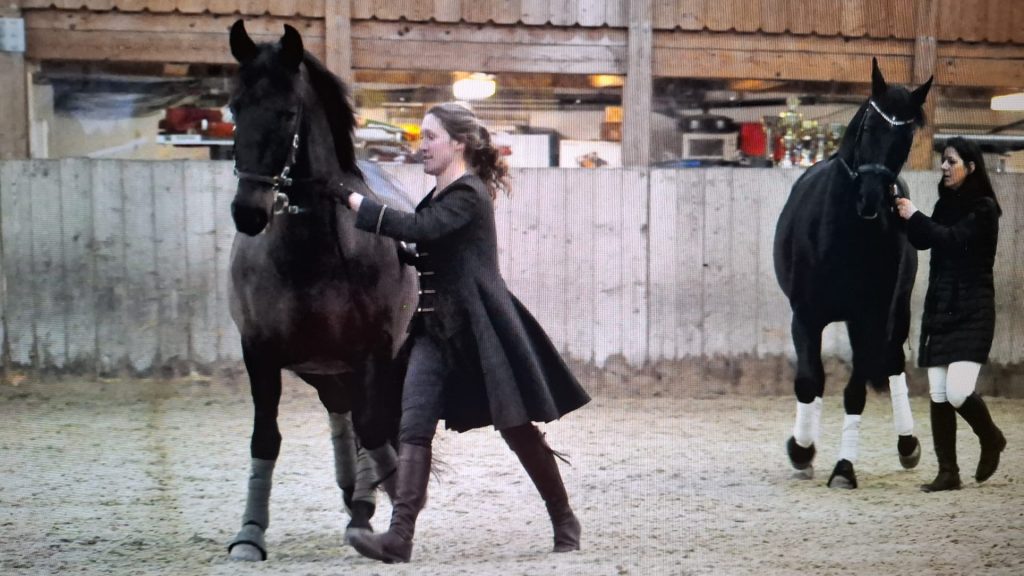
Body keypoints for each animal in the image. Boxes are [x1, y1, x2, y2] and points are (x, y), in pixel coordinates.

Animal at [224, 21, 418, 560]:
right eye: (234, 107)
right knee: (341, 417)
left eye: (288, 112)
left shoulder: (374, 353)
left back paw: (364, 502)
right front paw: (249, 534)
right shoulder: (259, 354)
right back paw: (354, 495)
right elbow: (264, 439)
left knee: (368, 425)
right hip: (324, 371)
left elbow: (376, 430)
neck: (310, 258)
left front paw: (387, 514)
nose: (248, 212)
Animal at [773, 58, 932, 489]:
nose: (871, 200)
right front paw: (801, 451)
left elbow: (855, 392)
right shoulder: (805, 316)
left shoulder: (870, 317)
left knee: (893, 363)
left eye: (906, 137)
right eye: (868, 128)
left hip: (897, 310)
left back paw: (908, 446)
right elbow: (809, 382)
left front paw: (844, 467)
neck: (845, 232)